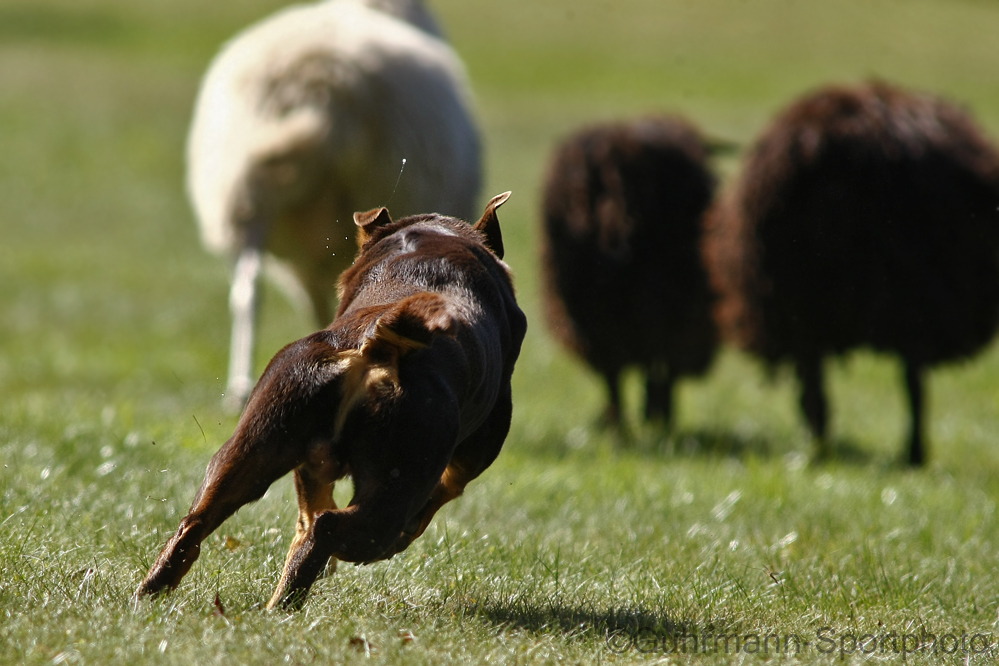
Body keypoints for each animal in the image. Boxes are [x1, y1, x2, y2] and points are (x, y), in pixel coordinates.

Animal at [137, 191, 528, 608]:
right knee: (336, 527)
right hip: (395, 490)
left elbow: (307, 512)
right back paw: (289, 599)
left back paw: (155, 591)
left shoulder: (309, 466)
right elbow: (446, 489)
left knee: (199, 522)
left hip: (252, 446)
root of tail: (378, 340)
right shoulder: (477, 448)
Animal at [704, 80, 999, 462]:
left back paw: (822, 449)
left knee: (823, 391)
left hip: (808, 300)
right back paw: (907, 454)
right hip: (900, 293)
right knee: (911, 383)